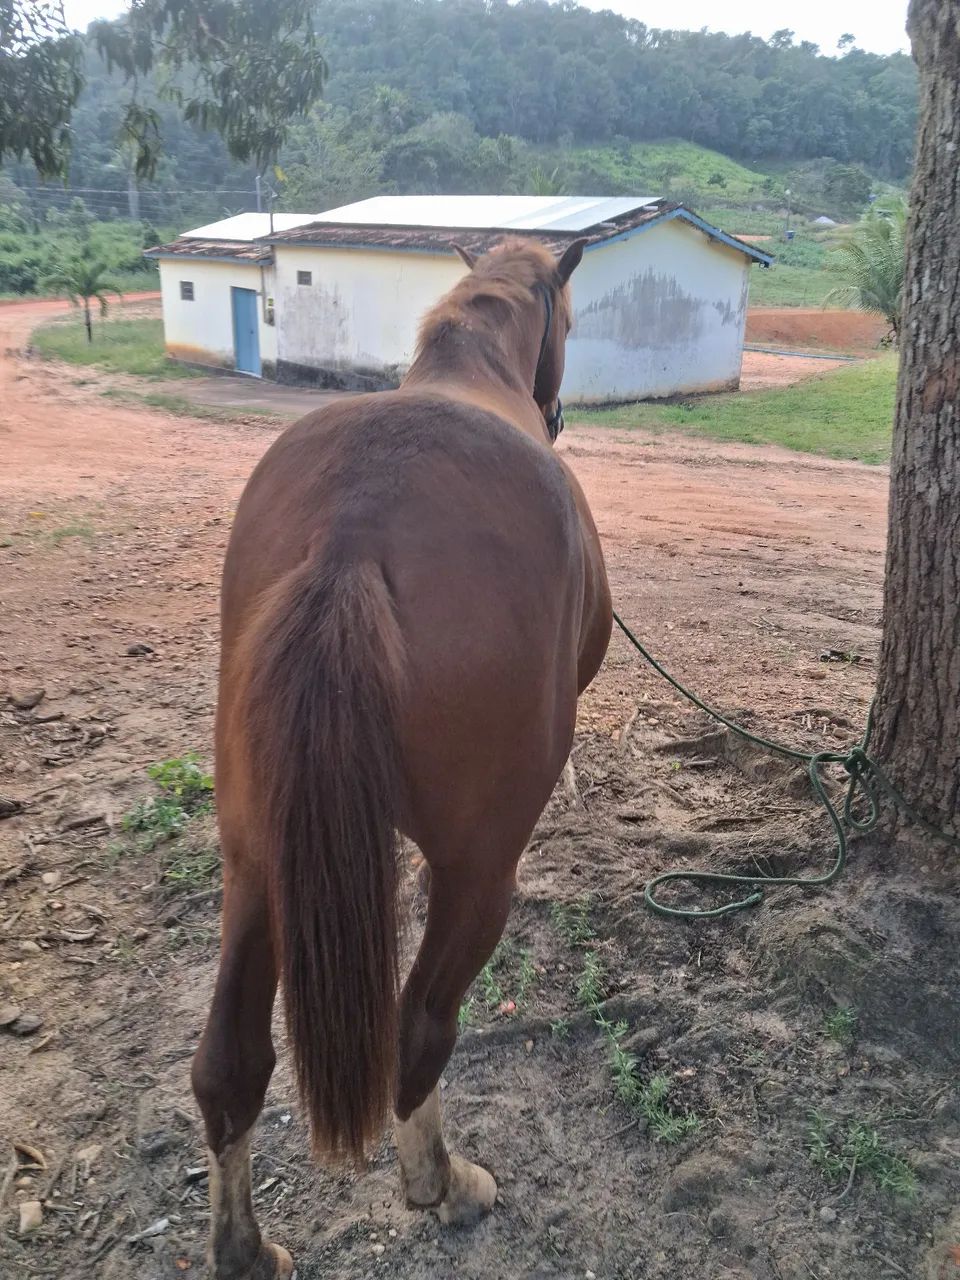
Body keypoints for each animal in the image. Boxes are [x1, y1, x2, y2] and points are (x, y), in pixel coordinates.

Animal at [191, 235, 612, 1279]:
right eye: (568, 322)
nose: (559, 413)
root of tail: (353, 534)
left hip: (255, 857)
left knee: (228, 1066)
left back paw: (245, 1249)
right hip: (481, 870)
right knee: (419, 1029)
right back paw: (447, 1188)